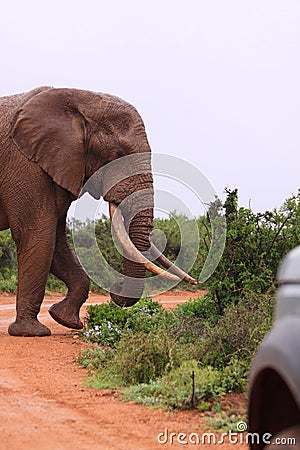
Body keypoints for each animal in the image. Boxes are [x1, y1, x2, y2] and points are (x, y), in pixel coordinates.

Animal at [0, 86, 197, 336]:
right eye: (116, 155)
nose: (117, 286)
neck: (77, 98)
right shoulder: (25, 164)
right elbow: (37, 233)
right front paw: (31, 332)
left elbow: (56, 241)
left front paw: (66, 320)